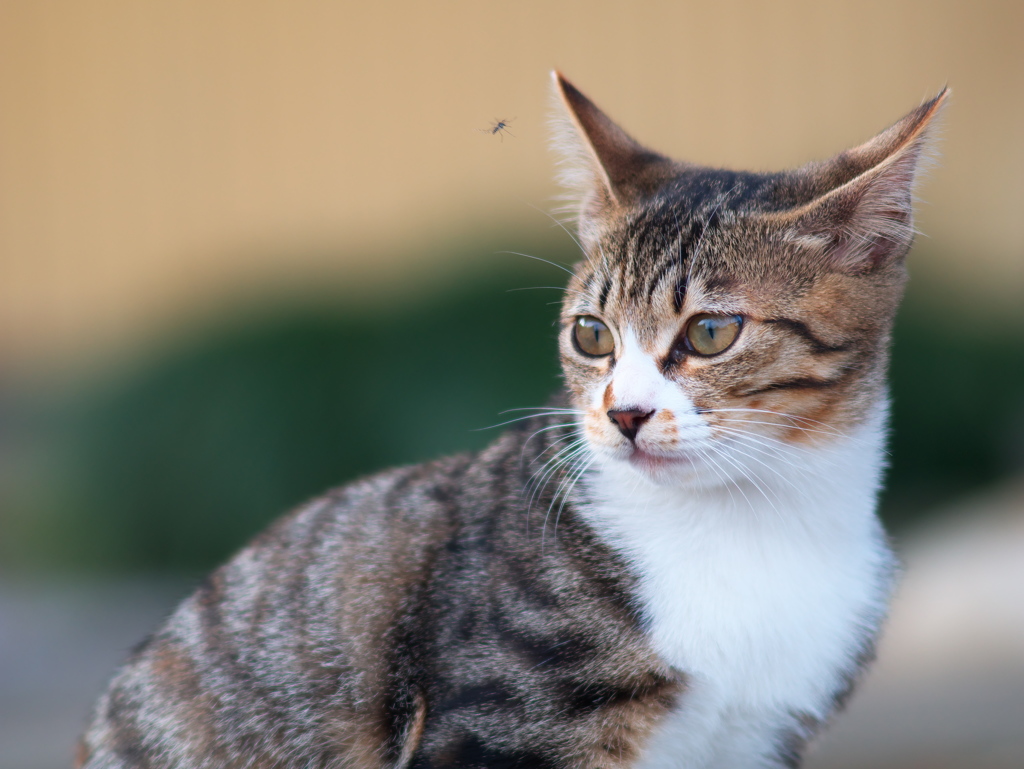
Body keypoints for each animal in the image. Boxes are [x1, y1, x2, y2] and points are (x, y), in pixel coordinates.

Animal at [75, 73, 946, 769]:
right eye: (590, 334)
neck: (750, 521)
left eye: (709, 332)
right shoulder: (497, 729)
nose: (625, 413)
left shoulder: (758, 736)